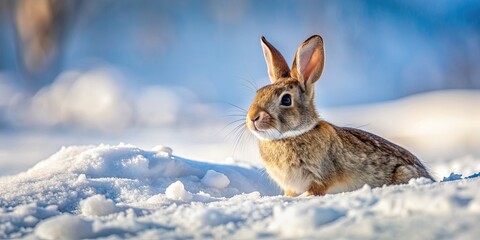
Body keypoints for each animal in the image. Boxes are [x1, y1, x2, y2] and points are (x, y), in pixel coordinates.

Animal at [246, 35, 434, 197]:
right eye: (258, 93)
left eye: (286, 100)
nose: (252, 118)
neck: (289, 136)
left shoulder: (321, 177)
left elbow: (315, 190)